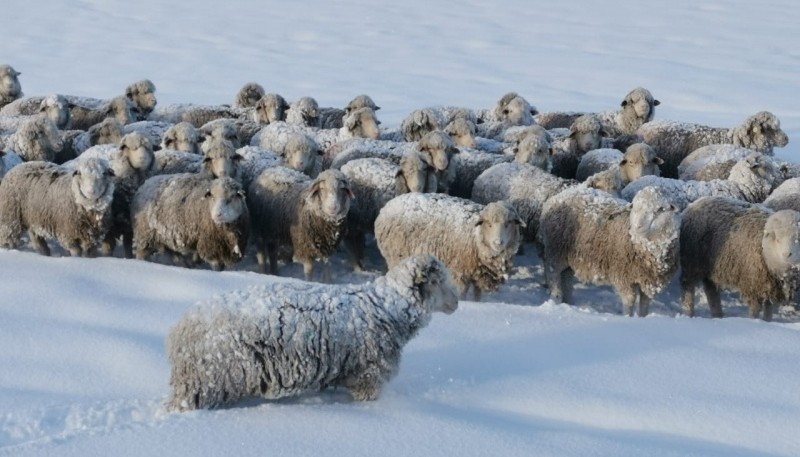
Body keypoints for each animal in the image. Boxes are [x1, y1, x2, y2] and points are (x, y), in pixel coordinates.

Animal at [166, 253, 460, 410]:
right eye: (436, 281)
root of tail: (179, 331)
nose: (456, 303)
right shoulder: (368, 376)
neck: (386, 306)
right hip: (206, 383)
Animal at [376, 192, 524, 300]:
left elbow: (477, 295)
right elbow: (461, 294)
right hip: (395, 256)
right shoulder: (459, 273)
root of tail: (389, 205)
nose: (498, 243)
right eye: (489, 224)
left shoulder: (480, 273)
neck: (475, 236)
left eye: (509, 223)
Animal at [536, 183, 680, 316]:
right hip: (556, 251)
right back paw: (556, 298)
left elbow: (645, 305)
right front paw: (628, 318)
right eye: (634, 206)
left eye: (660, 209)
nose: (637, 227)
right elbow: (629, 301)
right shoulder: (623, 277)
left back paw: (569, 302)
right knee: (552, 273)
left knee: (566, 278)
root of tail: (556, 197)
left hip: (570, 256)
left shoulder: (649, 280)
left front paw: (642, 318)